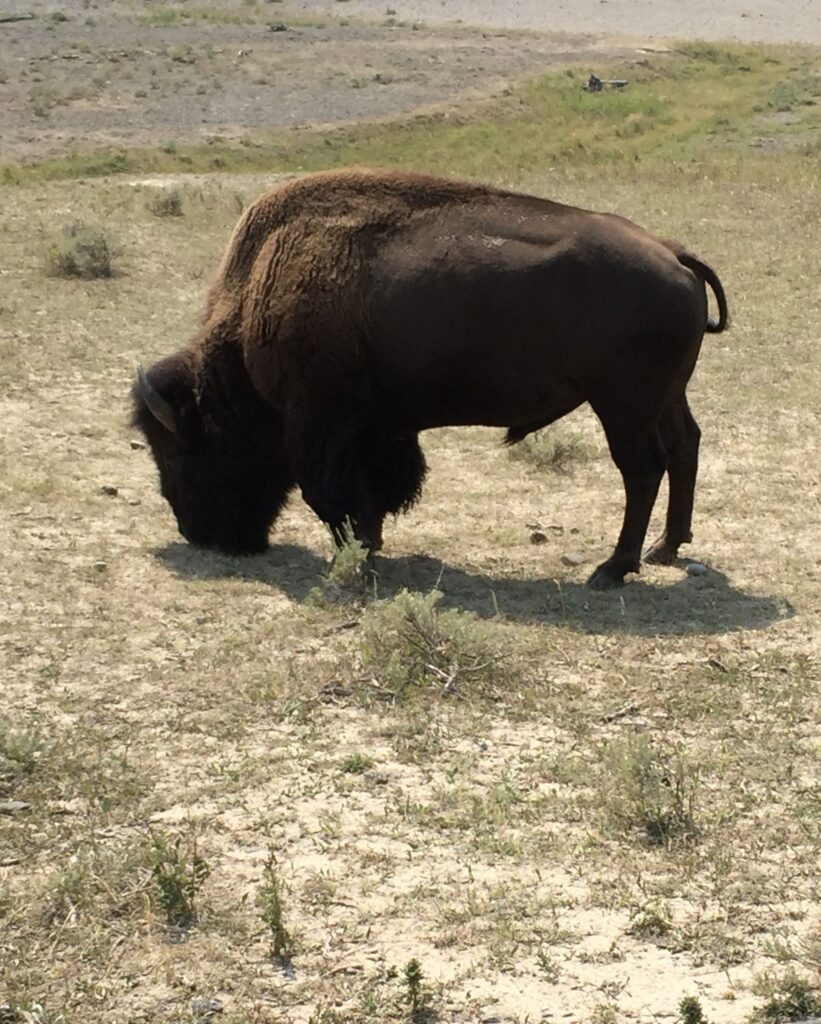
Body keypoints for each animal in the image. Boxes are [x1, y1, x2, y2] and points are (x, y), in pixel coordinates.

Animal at [131, 164, 724, 589]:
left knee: (642, 468)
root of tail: (674, 254)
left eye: (179, 451)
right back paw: (666, 547)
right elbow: (377, 490)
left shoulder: (321, 426)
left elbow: (332, 495)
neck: (260, 287)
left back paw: (613, 568)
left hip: (622, 405)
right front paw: (371, 543)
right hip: (665, 397)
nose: (197, 533)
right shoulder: (380, 429)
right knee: (684, 447)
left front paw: (356, 555)